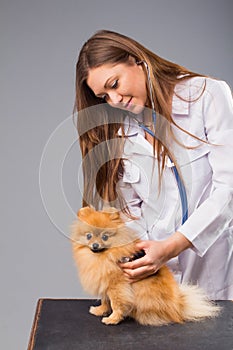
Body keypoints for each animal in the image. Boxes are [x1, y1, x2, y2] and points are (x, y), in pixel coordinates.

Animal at [71, 208, 220, 326]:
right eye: (89, 236)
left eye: (105, 237)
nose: (95, 245)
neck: (103, 256)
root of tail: (179, 306)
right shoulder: (104, 282)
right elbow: (105, 300)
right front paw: (100, 310)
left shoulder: (117, 286)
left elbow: (116, 303)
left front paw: (112, 319)